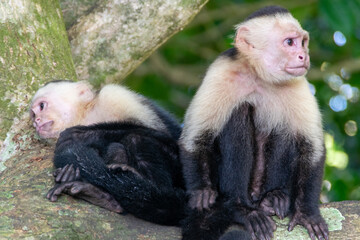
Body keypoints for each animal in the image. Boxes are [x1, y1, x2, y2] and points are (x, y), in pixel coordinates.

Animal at [180, 4, 330, 240]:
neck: (261, 76)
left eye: (303, 42)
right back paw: (241, 207)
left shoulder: (298, 83)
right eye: (290, 42)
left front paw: (306, 212)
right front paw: (202, 191)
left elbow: (312, 149)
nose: (303, 56)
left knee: (284, 126)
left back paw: (274, 197)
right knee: (238, 112)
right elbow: (195, 138)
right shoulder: (221, 71)